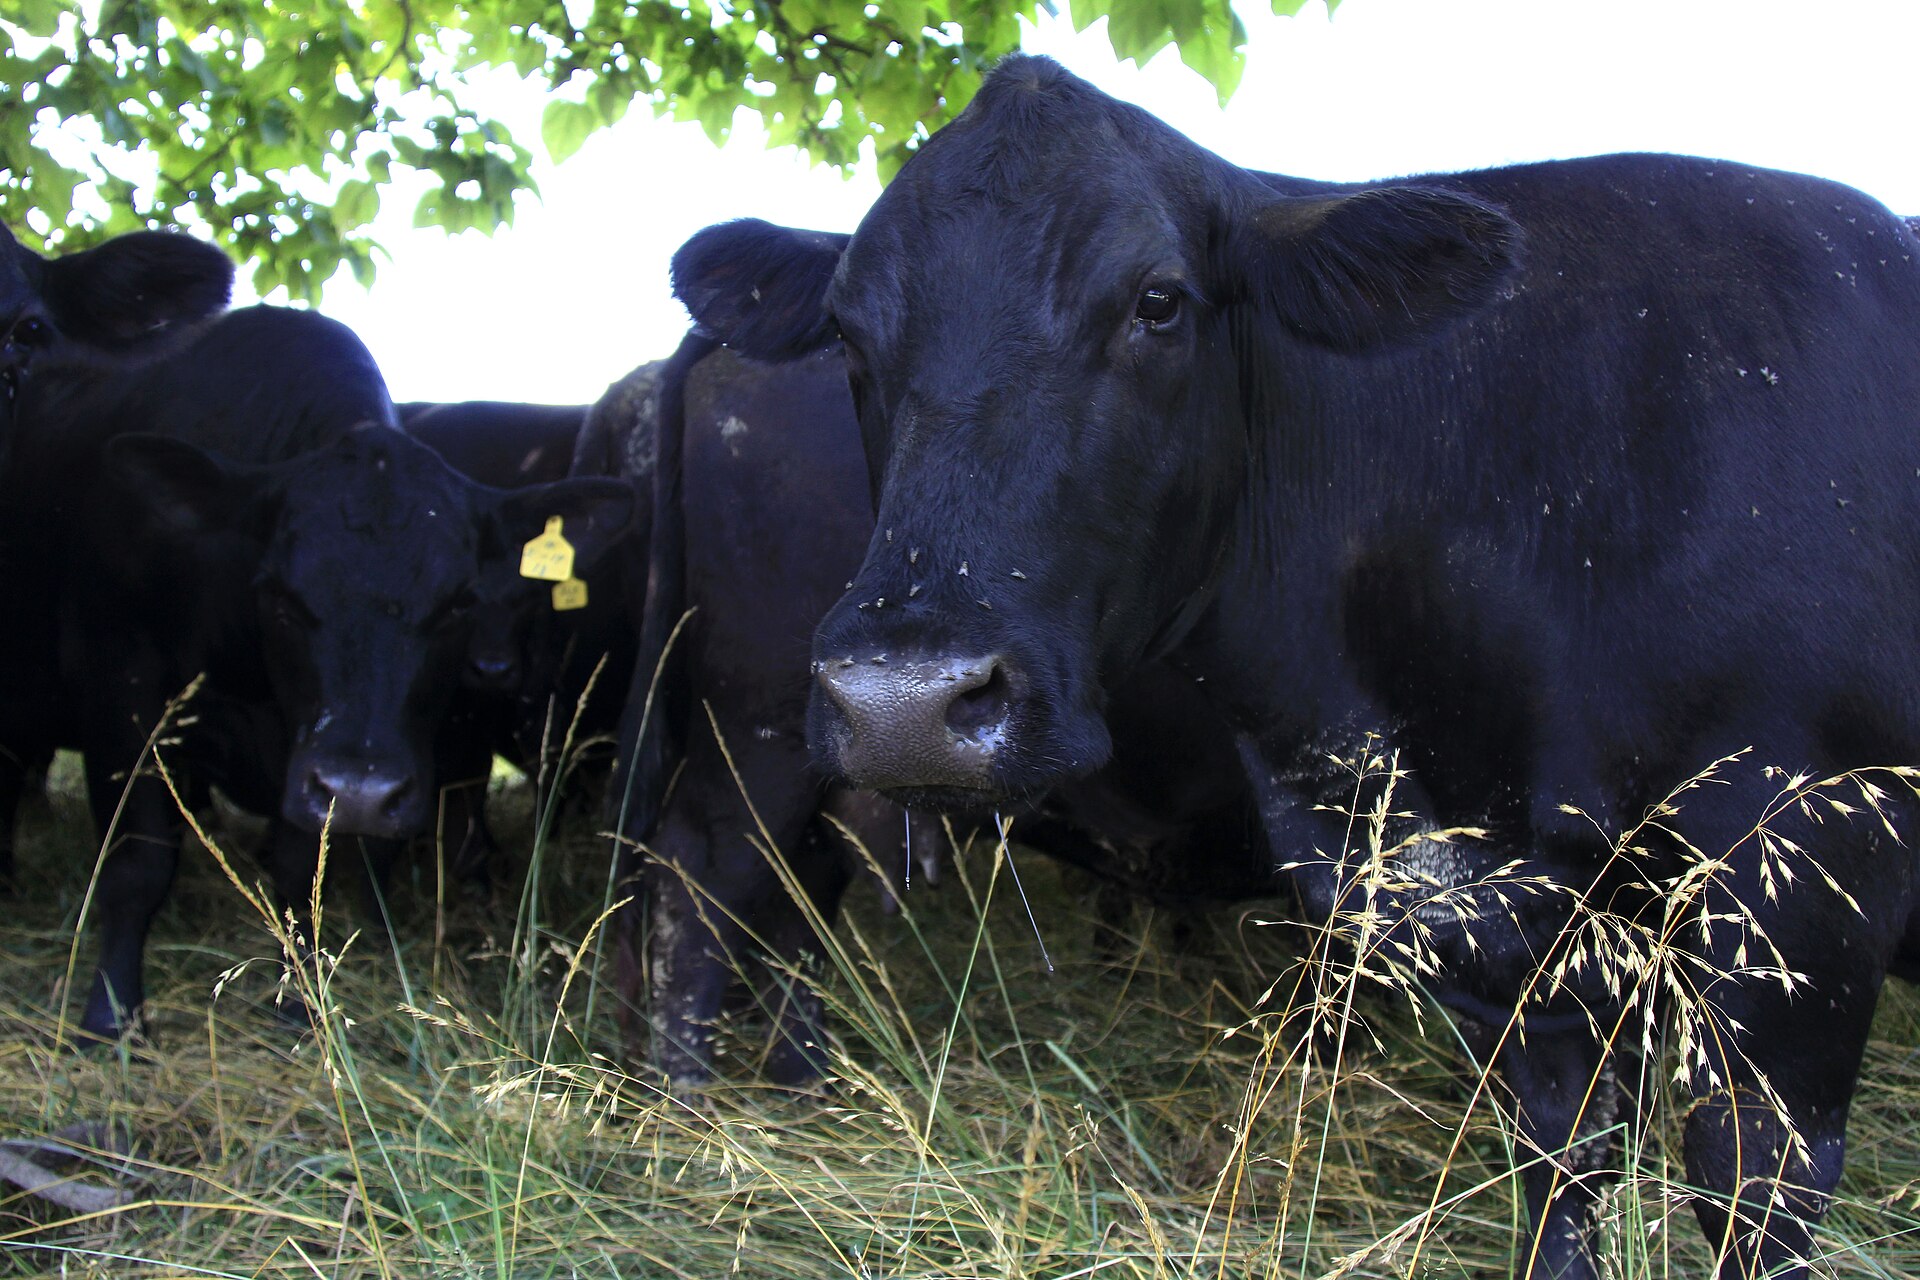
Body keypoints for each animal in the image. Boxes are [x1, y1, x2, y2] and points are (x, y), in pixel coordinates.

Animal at [667, 55, 1920, 1280]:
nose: (906, 699)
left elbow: (1706, 1191)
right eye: (847, 332)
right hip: (754, 746)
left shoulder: (1795, 903)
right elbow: (1569, 1183)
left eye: (1158, 301)